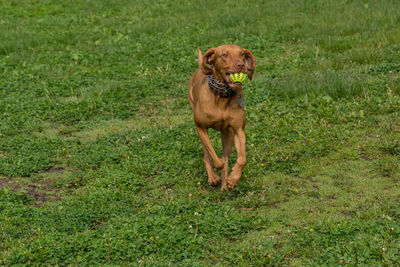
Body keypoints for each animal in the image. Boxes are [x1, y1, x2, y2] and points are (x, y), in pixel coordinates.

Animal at [188, 44, 256, 191]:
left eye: (242, 54)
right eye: (224, 54)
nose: (241, 65)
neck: (221, 97)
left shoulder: (238, 130)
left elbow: (242, 159)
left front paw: (233, 178)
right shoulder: (200, 127)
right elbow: (215, 158)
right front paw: (218, 168)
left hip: (227, 134)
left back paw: (225, 183)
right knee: (207, 154)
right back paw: (213, 177)